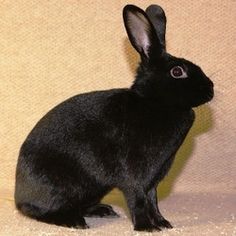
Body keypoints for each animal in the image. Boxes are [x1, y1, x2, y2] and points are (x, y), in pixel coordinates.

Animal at [14, 4, 214, 232]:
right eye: (177, 71)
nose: (211, 89)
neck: (153, 102)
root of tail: (18, 194)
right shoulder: (134, 176)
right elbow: (138, 199)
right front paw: (146, 227)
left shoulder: (152, 179)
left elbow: (153, 199)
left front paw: (162, 222)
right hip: (61, 187)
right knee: (38, 210)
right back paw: (74, 221)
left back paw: (102, 210)